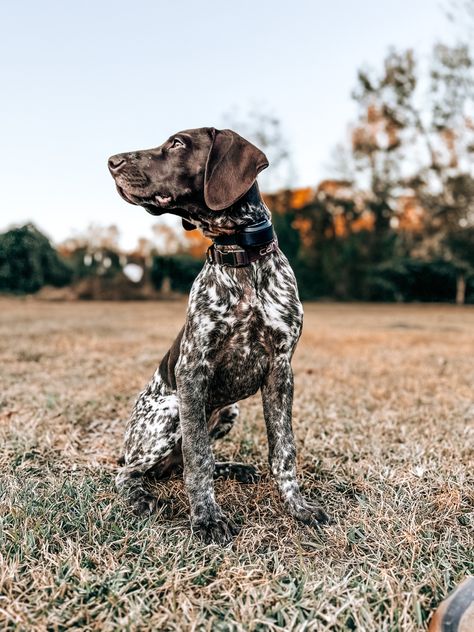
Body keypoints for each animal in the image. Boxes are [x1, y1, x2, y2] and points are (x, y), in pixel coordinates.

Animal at [109, 128, 328, 544]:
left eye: (178, 143)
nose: (112, 161)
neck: (240, 255)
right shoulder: (193, 368)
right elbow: (198, 457)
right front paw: (207, 518)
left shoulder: (281, 369)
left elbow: (283, 449)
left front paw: (297, 506)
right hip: (167, 414)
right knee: (131, 471)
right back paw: (142, 497)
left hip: (228, 409)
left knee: (181, 462)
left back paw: (234, 468)